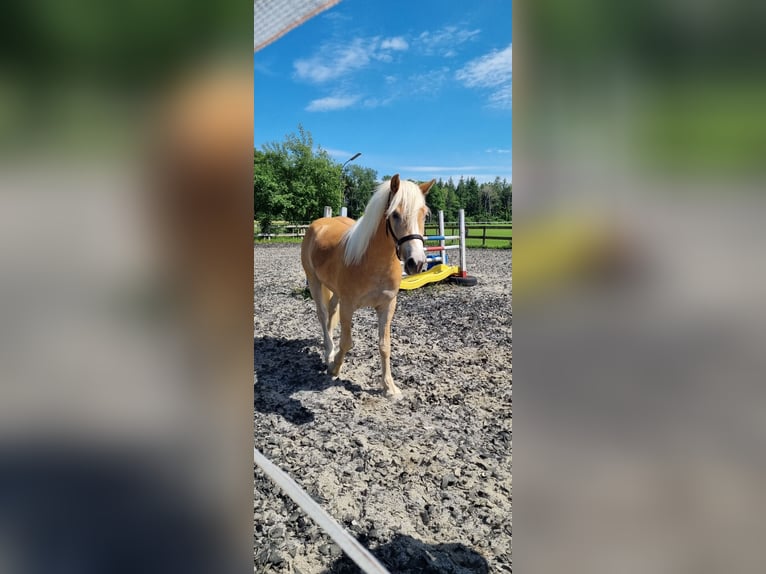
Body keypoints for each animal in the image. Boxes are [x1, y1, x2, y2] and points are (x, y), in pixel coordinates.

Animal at [301, 174, 435, 397]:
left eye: (424, 214)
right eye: (395, 214)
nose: (416, 263)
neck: (372, 262)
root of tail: (320, 224)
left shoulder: (387, 306)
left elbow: (385, 345)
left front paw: (389, 387)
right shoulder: (348, 306)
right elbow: (347, 342)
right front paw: (334, 368)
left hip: (334, 290)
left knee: (330, 311)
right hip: (314, 281)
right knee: (322, 314)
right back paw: (329, 353)